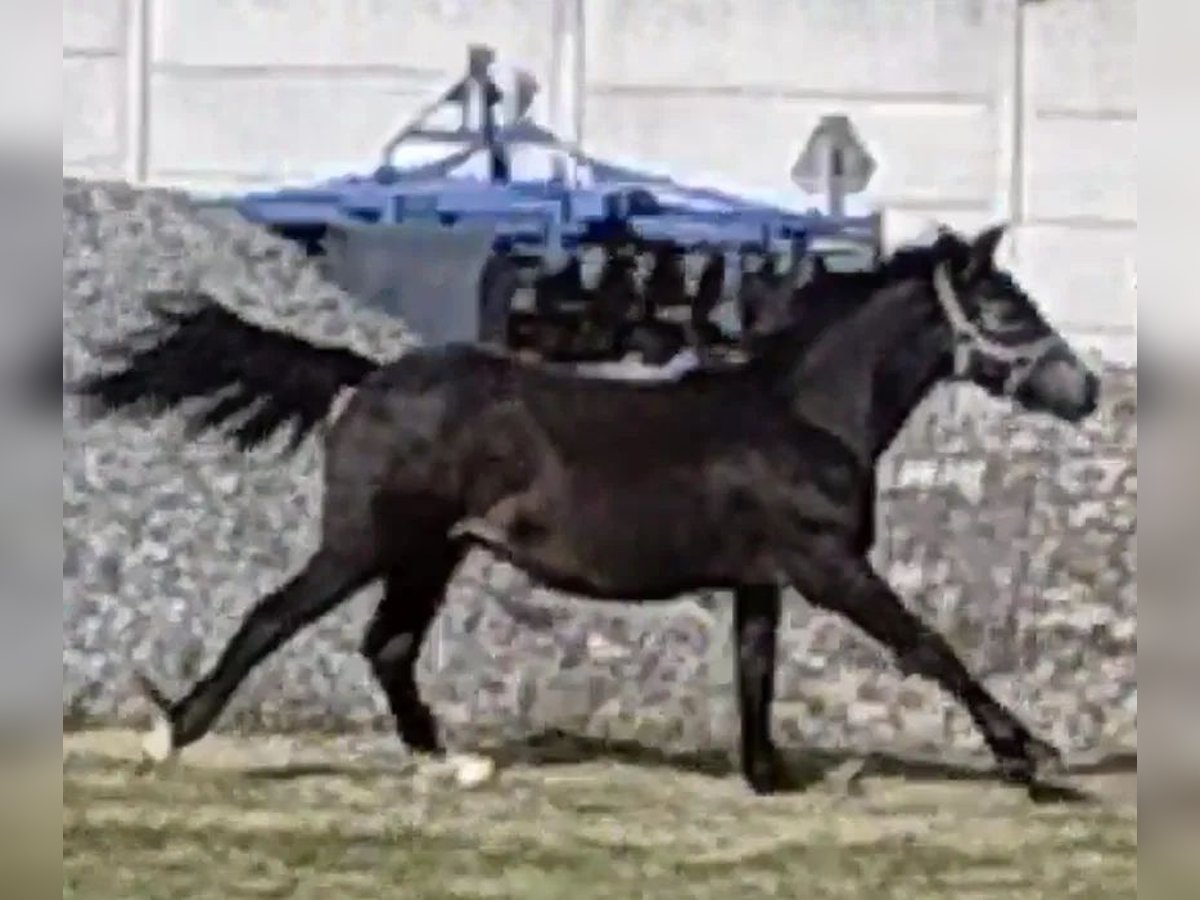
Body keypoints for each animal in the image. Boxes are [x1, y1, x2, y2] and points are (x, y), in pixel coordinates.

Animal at [72, 224, 1099, 796]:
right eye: (1007, 310)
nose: (1085, 391)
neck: (802, 416)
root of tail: (364, 379)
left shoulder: (761, 581)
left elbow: (755, 673)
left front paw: (770, 778)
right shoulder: (829, 567)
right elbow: (927, 646)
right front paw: (1029, 755)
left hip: (433, 551)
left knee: (388, 646)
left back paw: (449, 763)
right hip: (368, 541)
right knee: (273, 617)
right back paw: (168, 735)